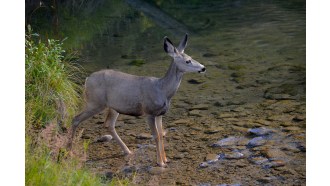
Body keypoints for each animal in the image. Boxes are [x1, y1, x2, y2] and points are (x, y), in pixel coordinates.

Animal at [68, 33, 205, 167]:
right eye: (188, 61)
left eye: (191, 57)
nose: (203, 68)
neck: (163, 90)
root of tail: (87, 80)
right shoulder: (149, 112)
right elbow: (156, 136)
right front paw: (160, 162)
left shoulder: (160, 114)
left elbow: (161, 134)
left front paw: (166, 159)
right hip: (95, 102)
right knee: (76, 119)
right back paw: (69, 150)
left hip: (113, 107)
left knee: (108, 124)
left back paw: (127, 151)